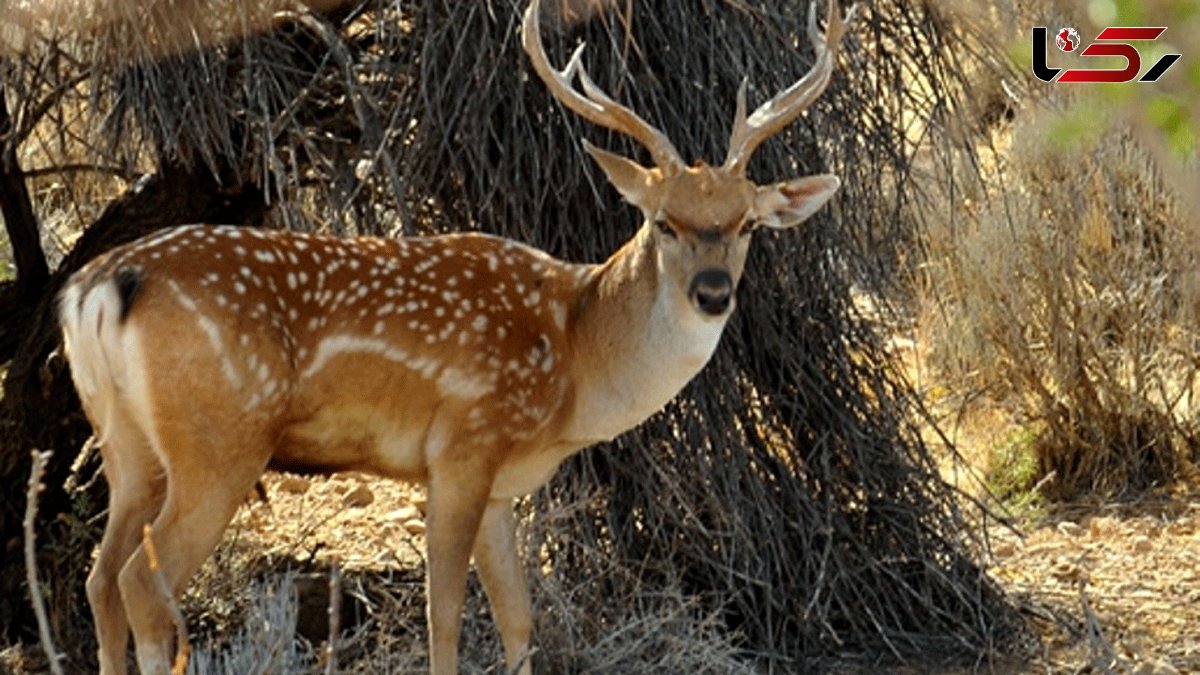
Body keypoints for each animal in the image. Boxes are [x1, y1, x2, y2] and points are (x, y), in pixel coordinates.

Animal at [58, 1, 854, 672]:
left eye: (746, 224)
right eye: (664, 222)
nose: (713, 292)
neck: (575, 358)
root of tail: (100, 285)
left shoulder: (504, 487)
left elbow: (518, 621)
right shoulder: (462, 446)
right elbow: (443, 617)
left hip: (126, 443)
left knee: (100, 578)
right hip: (217, 441)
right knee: (142, 583)